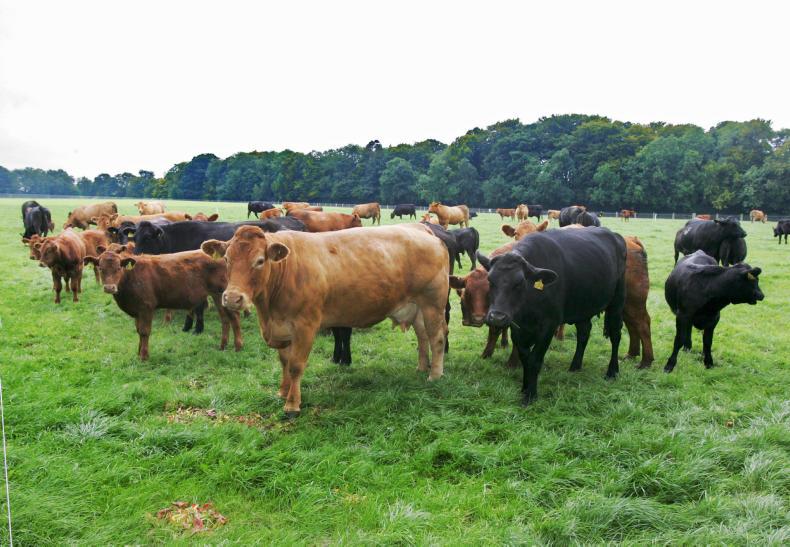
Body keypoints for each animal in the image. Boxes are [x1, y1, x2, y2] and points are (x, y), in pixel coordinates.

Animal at [84, 249, 243, 360]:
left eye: (118, 268)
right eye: (100, 268)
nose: (109, 288)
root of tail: (221, 257)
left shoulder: (146, 308)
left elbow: (144, 331)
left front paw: (144, 356)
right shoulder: (137, 311)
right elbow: (138, 331)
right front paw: (139, 352)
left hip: (221, 294)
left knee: (234, 318)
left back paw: (238, 347)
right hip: (217, 296)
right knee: (225, 319)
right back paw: (223, 346)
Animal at [202, 223, 450, 417]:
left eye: (260, 261)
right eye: (226, 259)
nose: (232, 298)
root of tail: (422, 229)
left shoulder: (305, 326)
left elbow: (295, 366)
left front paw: (292, 405)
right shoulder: (282, 329)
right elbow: (284, 362)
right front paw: (282, 391)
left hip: (433, 304)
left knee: (436, 338)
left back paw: (435, 375)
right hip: (417, 308)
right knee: (422, 337)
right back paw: (421, 367)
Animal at [477, 227, 626, 405]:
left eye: (519, 283)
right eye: (490, 280)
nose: (497, 317)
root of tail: (614, 235)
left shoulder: (548, 326)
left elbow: (535, 360)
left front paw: (531, 395)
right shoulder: (518, 327)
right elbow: (525, 358)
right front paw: (524, 388)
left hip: (617, 301)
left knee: (616, 335)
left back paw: (612, 371)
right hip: (583, 306)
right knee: (584, 333)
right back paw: (575, 366)